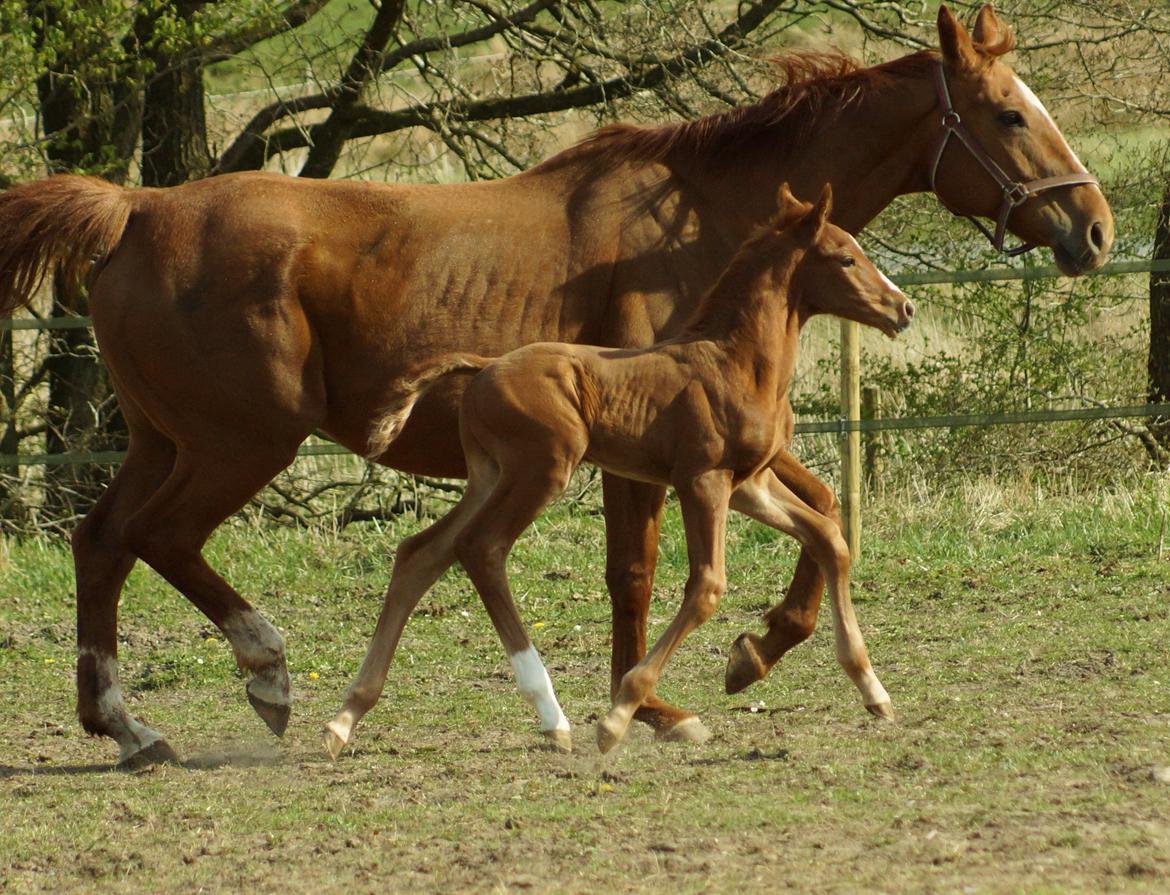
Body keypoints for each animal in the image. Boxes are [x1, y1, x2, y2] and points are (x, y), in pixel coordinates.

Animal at [325, 187, 907, 753]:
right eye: (846, 257)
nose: (903, 308)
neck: (735, 363)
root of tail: (484, 366)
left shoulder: (751, 485)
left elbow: (829, 538)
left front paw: (874, 691)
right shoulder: (703, 481)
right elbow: (707, 586)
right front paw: (619, 715)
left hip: (490, 475)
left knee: (422, 553)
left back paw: (345, 719)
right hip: (542, 469)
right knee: (482, 548)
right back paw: (552, 715)